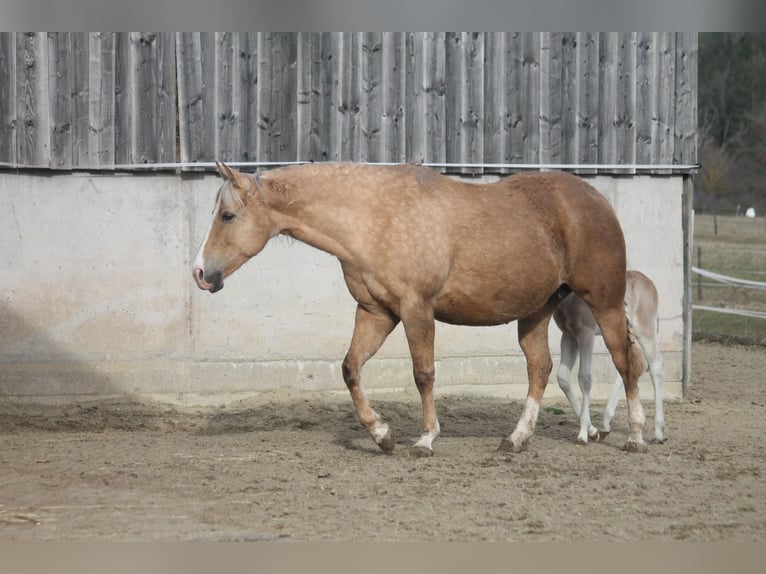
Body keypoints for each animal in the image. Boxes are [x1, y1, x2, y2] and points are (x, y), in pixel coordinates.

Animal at [193, 161, 648, 456]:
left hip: (604, 303)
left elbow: (423, 374)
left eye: (227, 215)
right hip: (535, 311)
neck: (375, 215)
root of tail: (596, 200)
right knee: (540, 368)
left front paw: (425, 439)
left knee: (626, 362)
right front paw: (382, 435)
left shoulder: (416, 310)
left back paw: (636, 437)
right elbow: (350, 368)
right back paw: (516, 439)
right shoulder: (376, 312)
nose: (200, 273)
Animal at [553, 270, 665, 445]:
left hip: (645, 330)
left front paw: (583, 434)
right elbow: (563, 378)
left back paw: (659, 432)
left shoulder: (586, 333)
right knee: (627, 368)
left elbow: (584, 377)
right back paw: (607, 420)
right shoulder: (568, 335)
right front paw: (593, 431)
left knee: (655, 367)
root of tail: (649, 283)